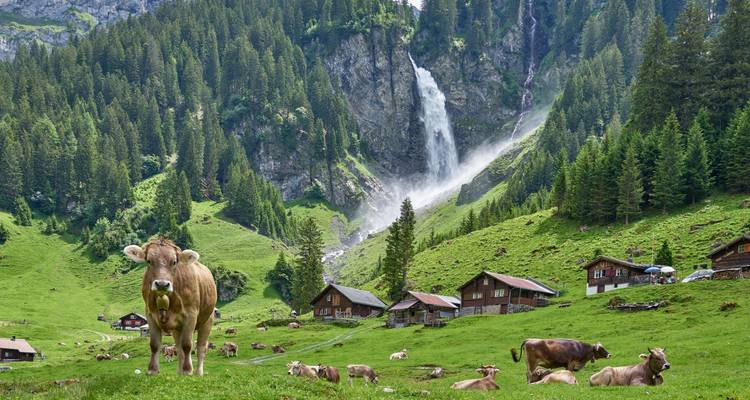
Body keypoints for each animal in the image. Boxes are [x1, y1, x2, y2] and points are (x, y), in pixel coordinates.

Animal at [124, 239, 218, 376]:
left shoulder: (191, 316)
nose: (162, 284)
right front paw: (152, 370)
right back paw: (179, 372)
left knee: (201, 347)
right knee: (178, 348)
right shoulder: (150, 315)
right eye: (149, 261)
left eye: (174, 262)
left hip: (207, 320)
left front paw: (188, 370)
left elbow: (187, 345)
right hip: (177, 328)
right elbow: (155, 345)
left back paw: (198, 372)